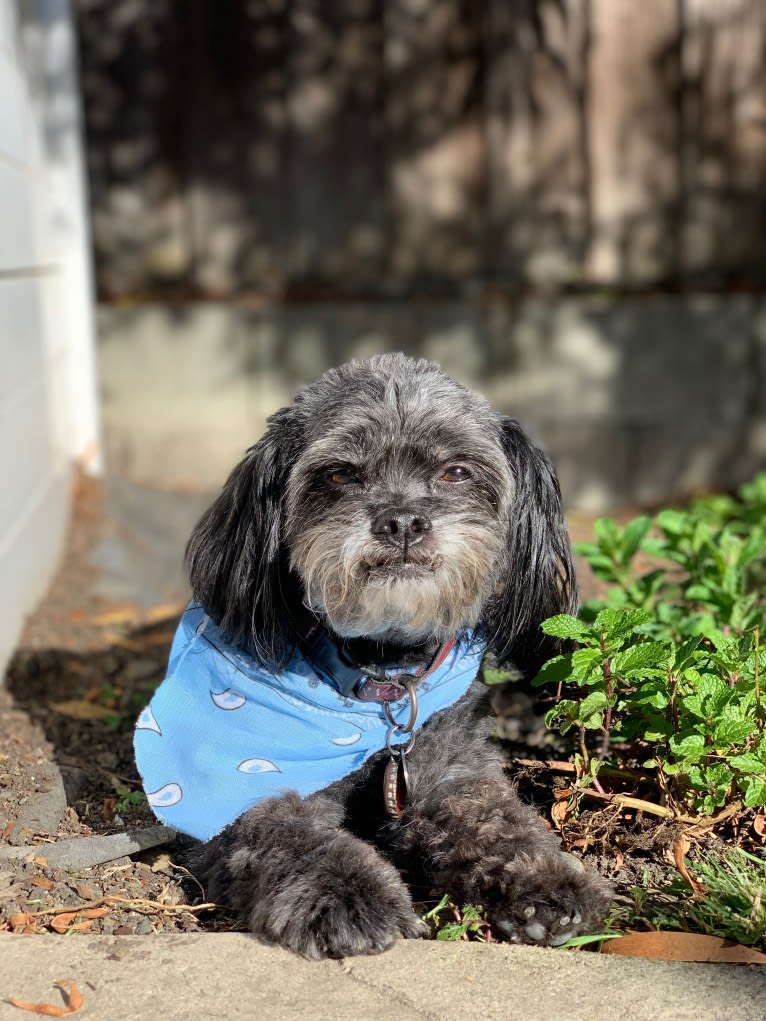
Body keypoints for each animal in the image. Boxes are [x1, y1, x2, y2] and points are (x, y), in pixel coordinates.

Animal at [133, 353, 612, 955]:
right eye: (340, 474)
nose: (402, 521)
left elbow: (496, 818)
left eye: (457, 471)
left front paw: (545, 881)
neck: (381, 670)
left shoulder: (454, 770)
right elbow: (287, 833)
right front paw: (345, 893)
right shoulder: (237, 787)